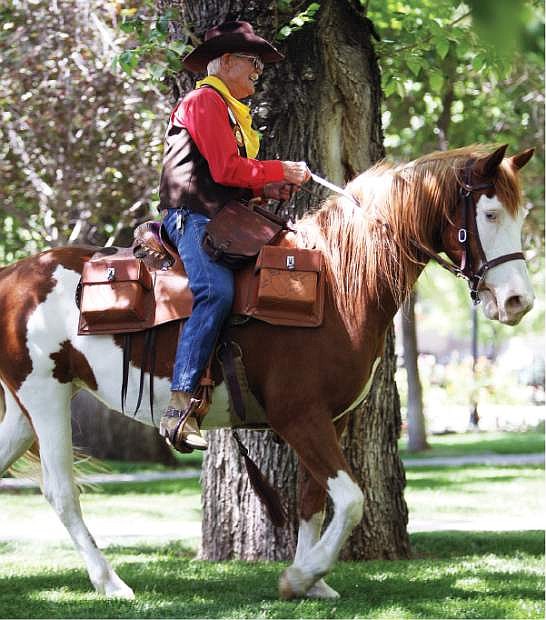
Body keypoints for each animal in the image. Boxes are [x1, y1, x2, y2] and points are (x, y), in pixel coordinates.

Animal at [0, 143, 532, 600]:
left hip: (24, 411)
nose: (518, 302)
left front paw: (315, 583)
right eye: (489, 214)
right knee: (62, 492)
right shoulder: (298, 416)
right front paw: (300, 576)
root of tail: (14, 275)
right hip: (45, 397)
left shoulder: (330, 419)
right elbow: (351, 499)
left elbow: (313, 500)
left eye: (522, 215)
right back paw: (111, 582)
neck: (335, 283)